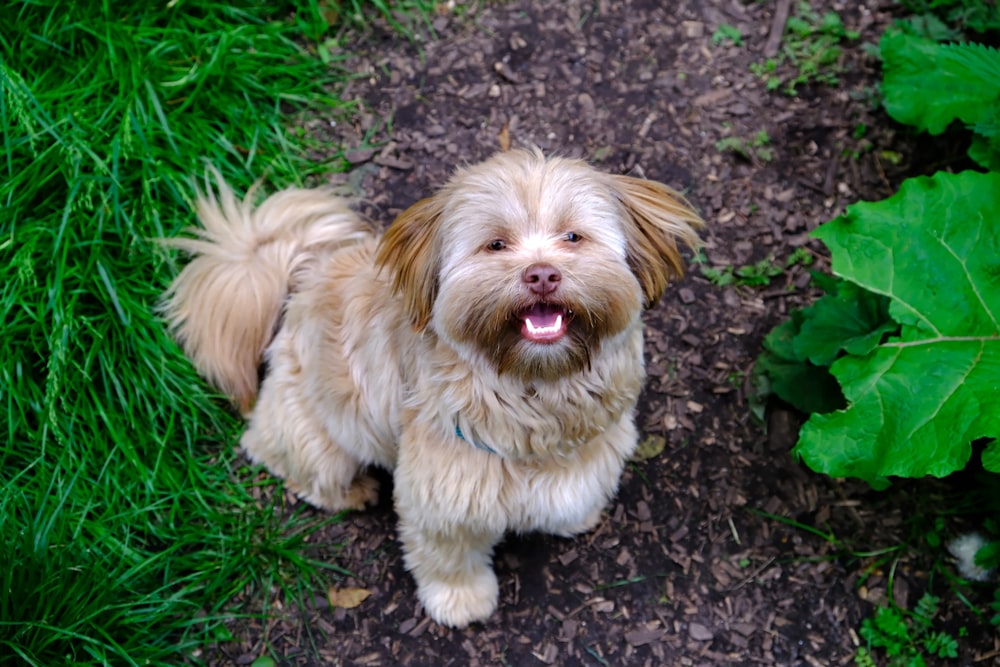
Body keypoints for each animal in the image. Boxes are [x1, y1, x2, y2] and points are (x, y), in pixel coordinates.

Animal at [164, 147, 704, 628]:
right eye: (496, 245)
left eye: (573, 237)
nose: (542, 275)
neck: (534, 390)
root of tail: (304, 275)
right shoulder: (444, 491)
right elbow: (447, 556)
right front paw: (460, 602)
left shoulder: (595, 446)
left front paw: (573, 516)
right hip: (316, 437)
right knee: (279, 455)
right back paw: (350, 490)